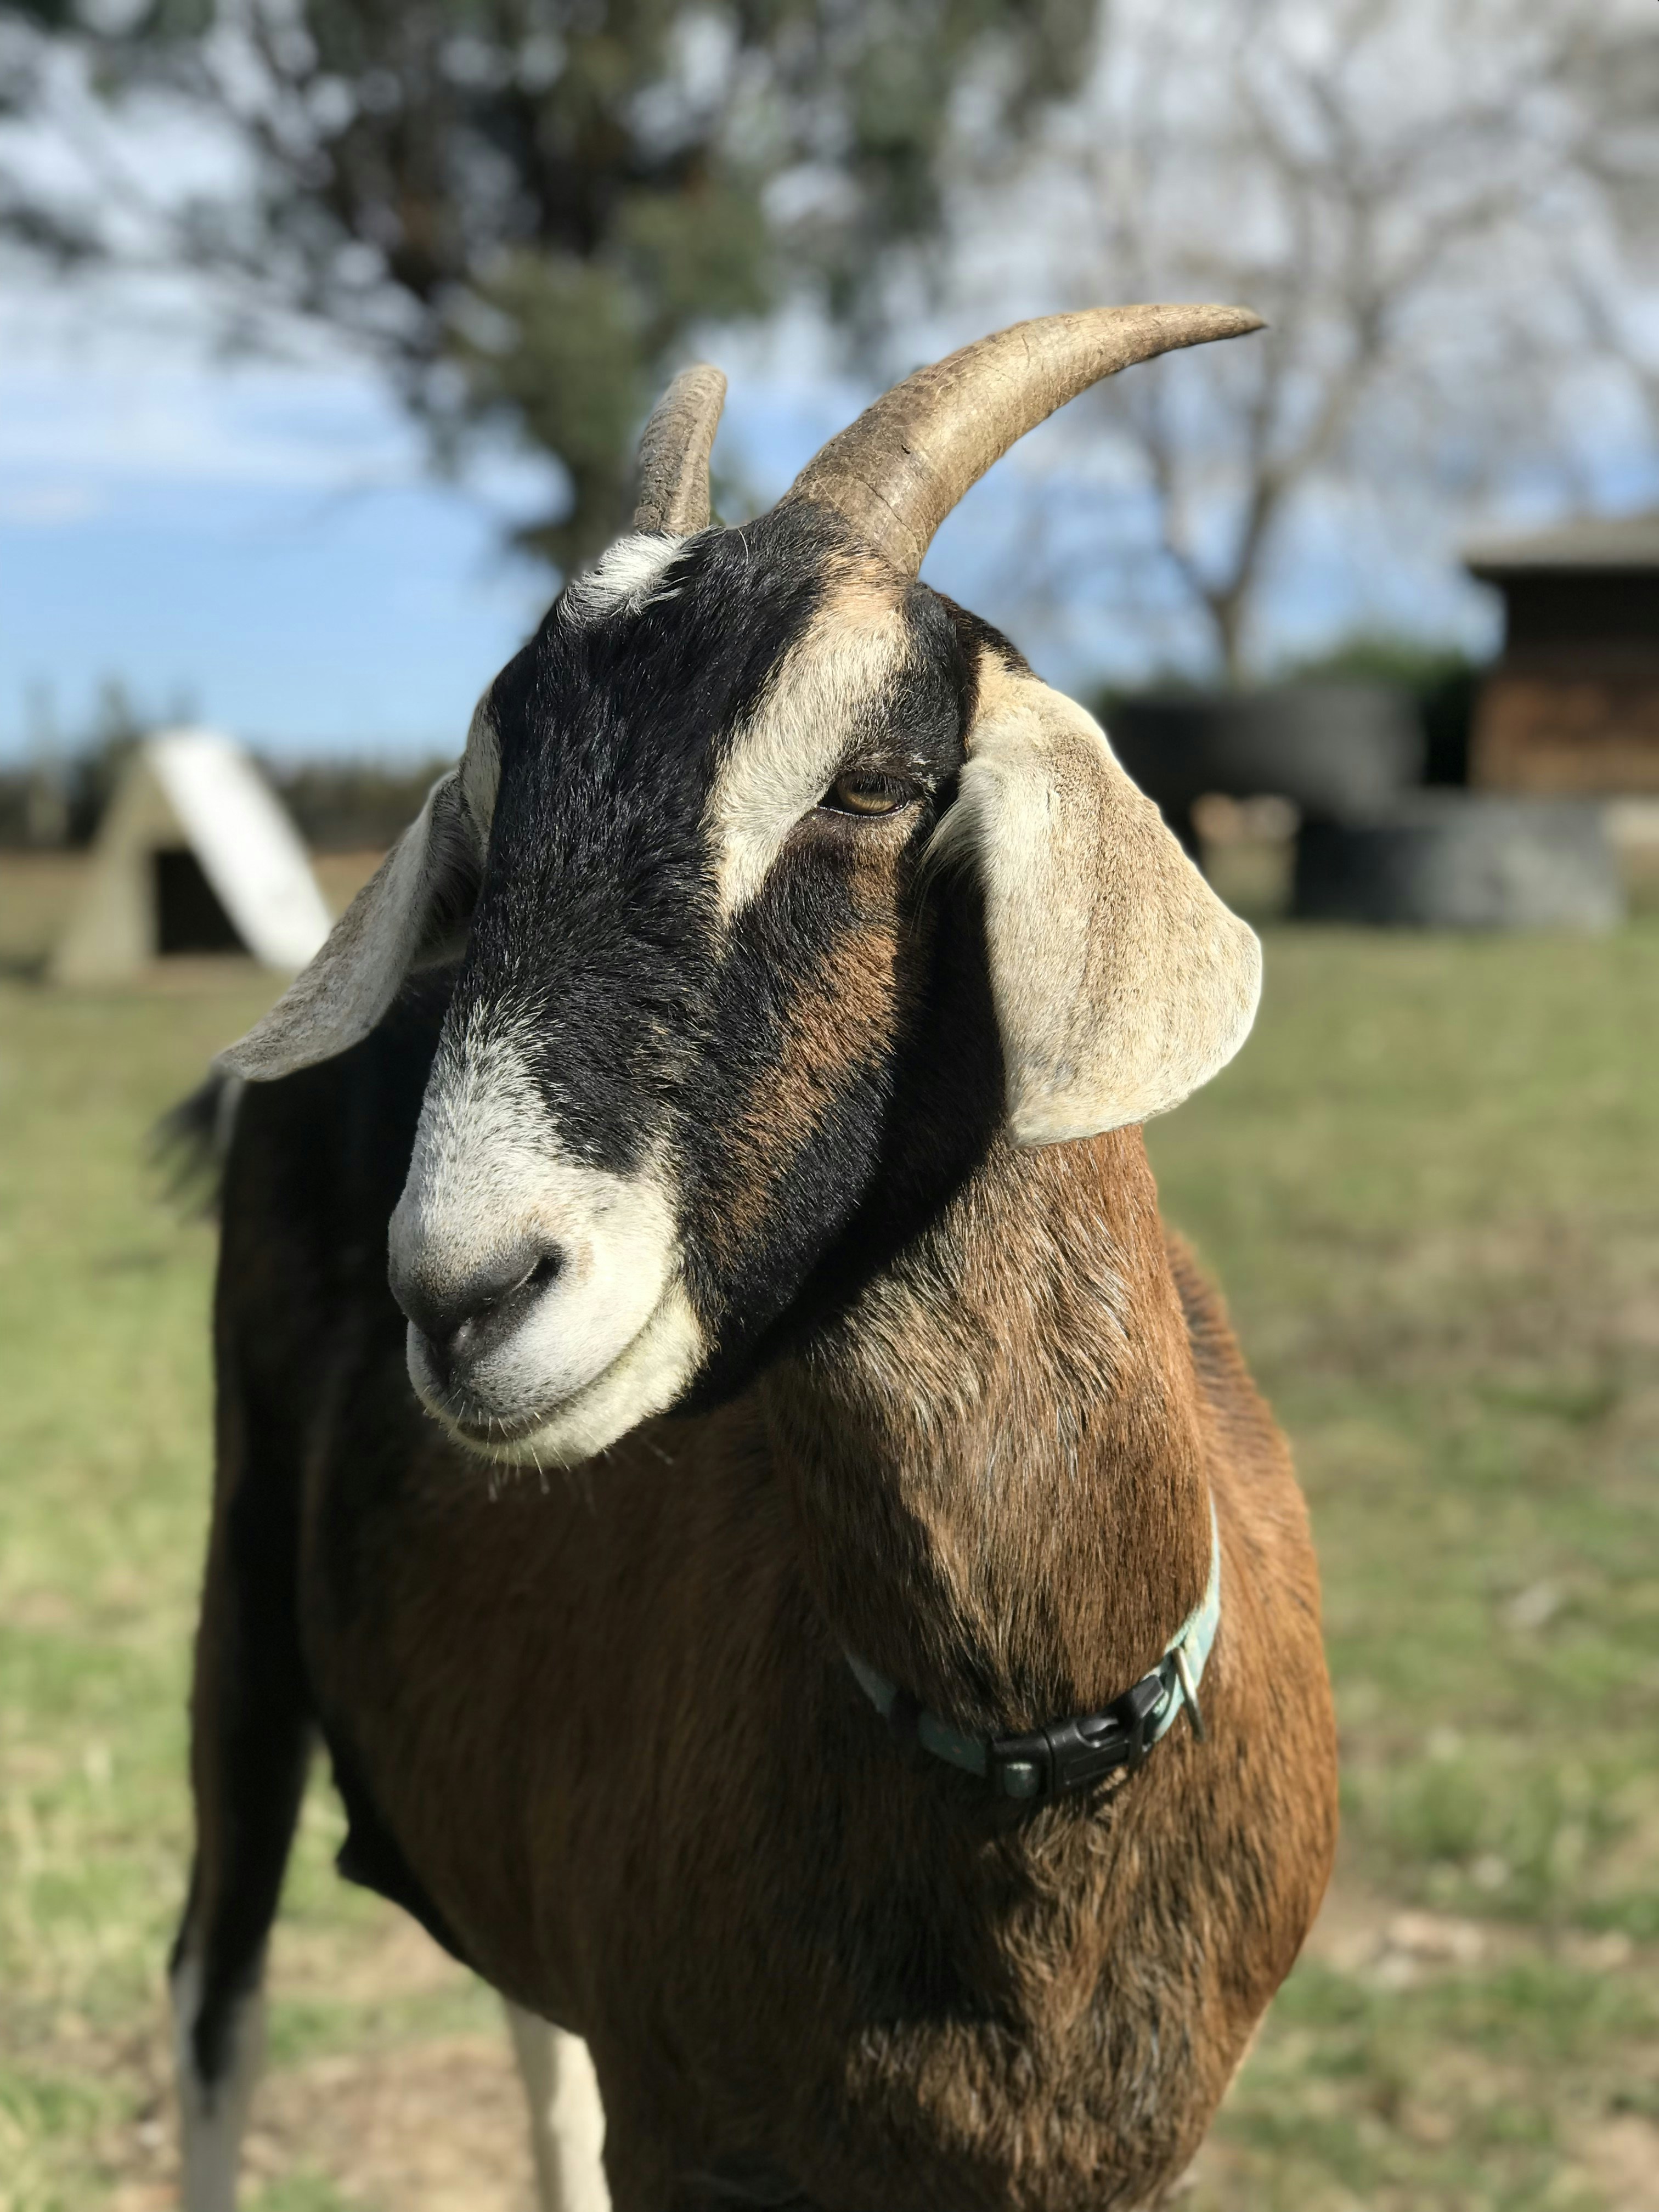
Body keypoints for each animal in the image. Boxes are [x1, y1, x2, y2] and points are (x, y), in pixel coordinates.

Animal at [171, 305, 1338, 2212]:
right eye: (481, 824)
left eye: (873, 782)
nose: (467, 1296)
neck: (1021, 1770)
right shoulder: (694, 2129)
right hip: (244, 1586)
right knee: (218, 1987)